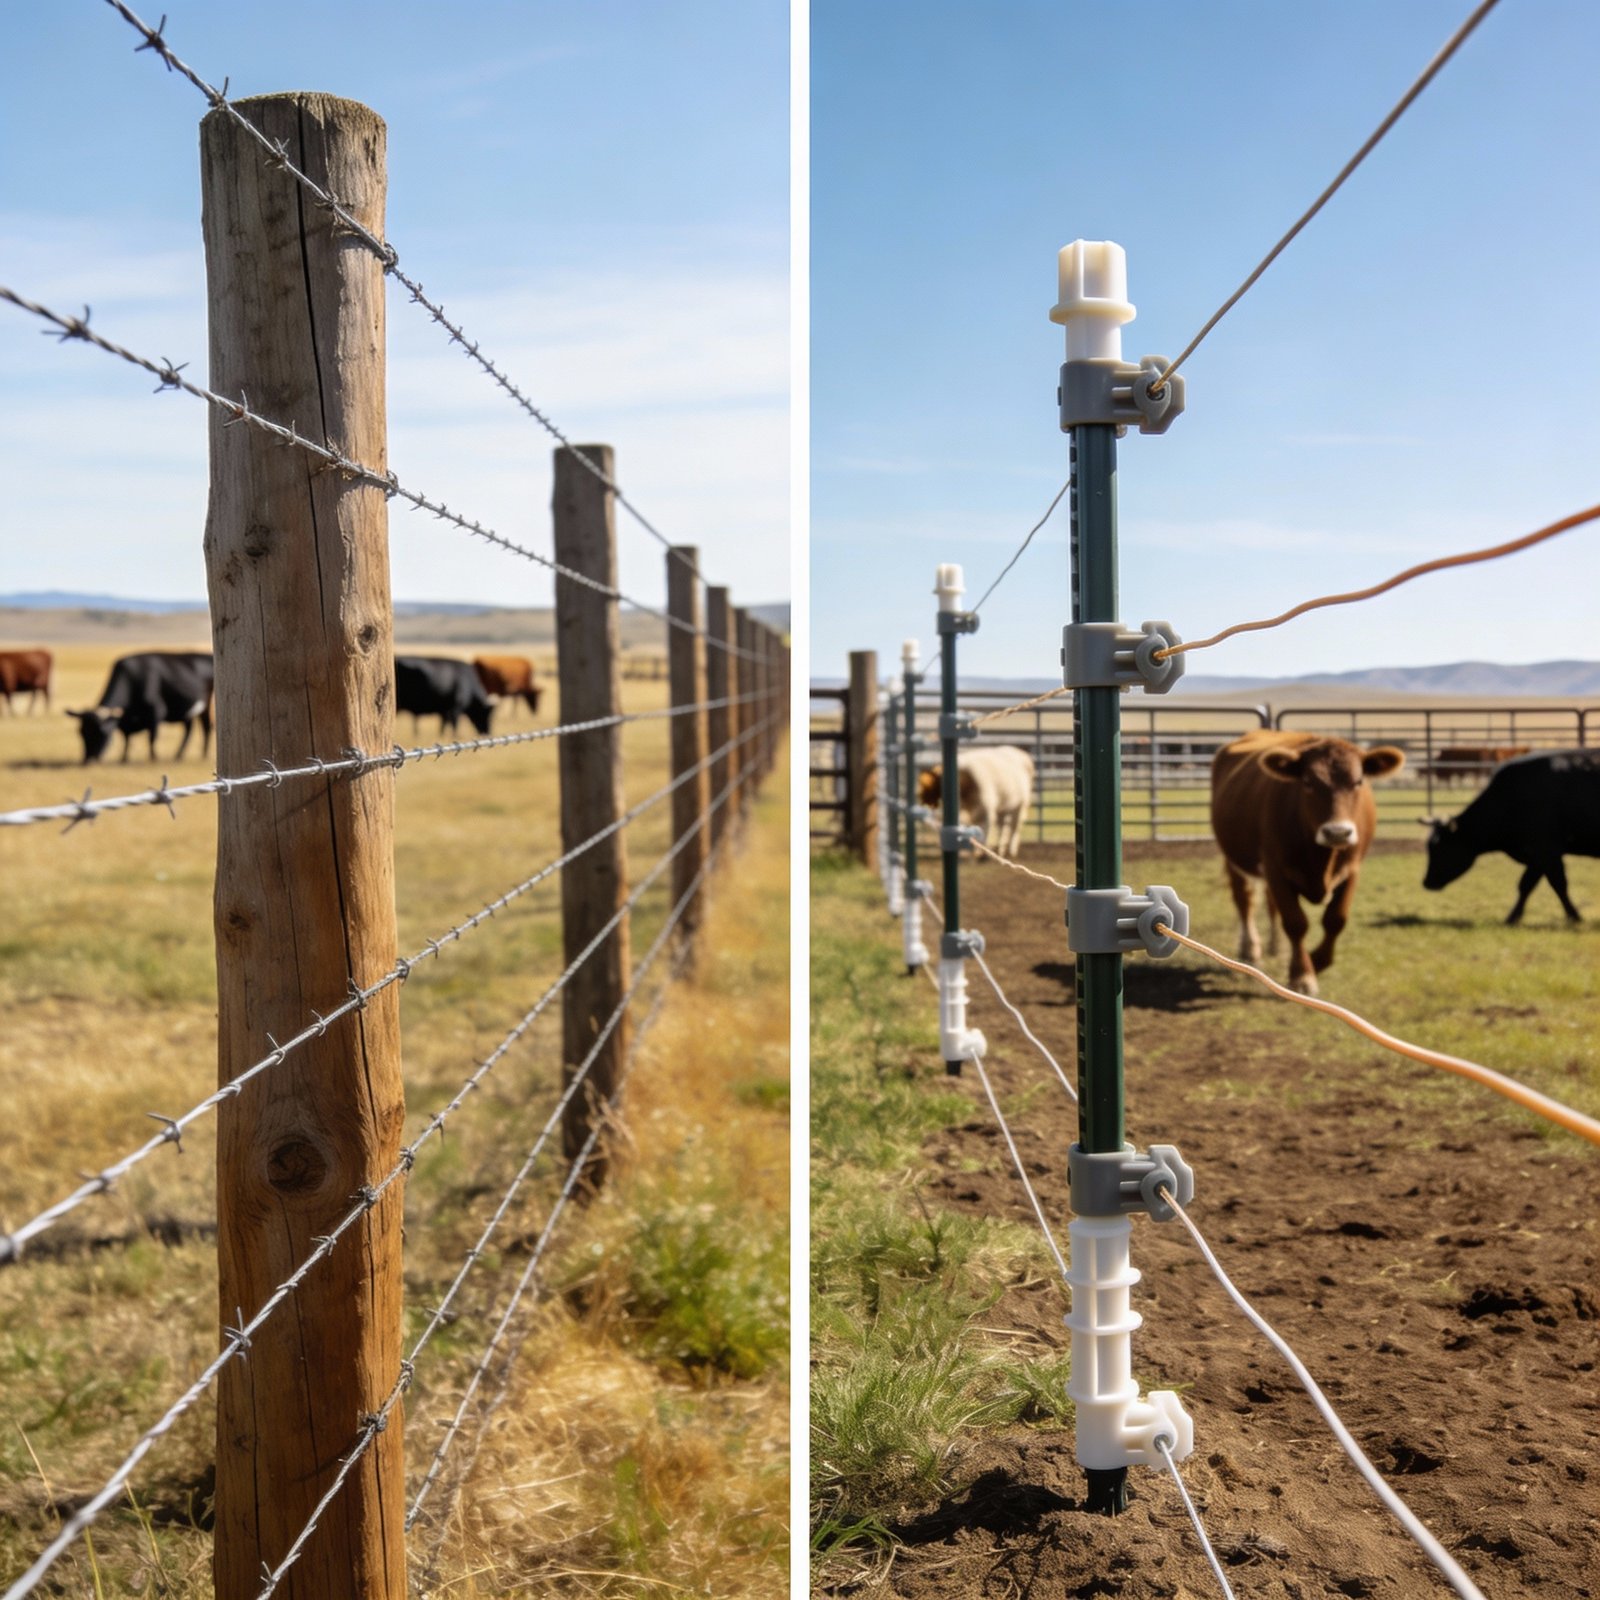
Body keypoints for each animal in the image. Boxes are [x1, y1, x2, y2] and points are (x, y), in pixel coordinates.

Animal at [67, 652, 214, 764]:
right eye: (81, 733)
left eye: (102, 732)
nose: (88, 760)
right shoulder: (125, 722)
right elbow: (126, 739)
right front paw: (124, 759)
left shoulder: (156, 711)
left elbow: (152, 737)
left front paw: (153, 759)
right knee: (190, 729)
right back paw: (180, 755)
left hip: (206, 702)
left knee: (206, 726)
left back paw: (202, 755)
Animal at [1210, 729, 1406, 995]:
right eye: (1308, 782)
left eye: (1358, 782)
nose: (1337, 832)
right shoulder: (1276, 869)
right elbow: (1295, 922)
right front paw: (1302, 974)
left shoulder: (1352, 870)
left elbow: (1336, 920)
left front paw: (1315, 961)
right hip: (1234, 858)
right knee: (1244, 901)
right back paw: (1250, 948)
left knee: (1270, 905)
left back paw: (1275, 946)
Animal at [1422, 748, 1600, 924]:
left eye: (1441, 848)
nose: (1427, 882)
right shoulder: (1537, 856)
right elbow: (1526, 885)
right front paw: (1514, 916)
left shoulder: (1546, 850)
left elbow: (1558, 884)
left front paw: (1574, 916)